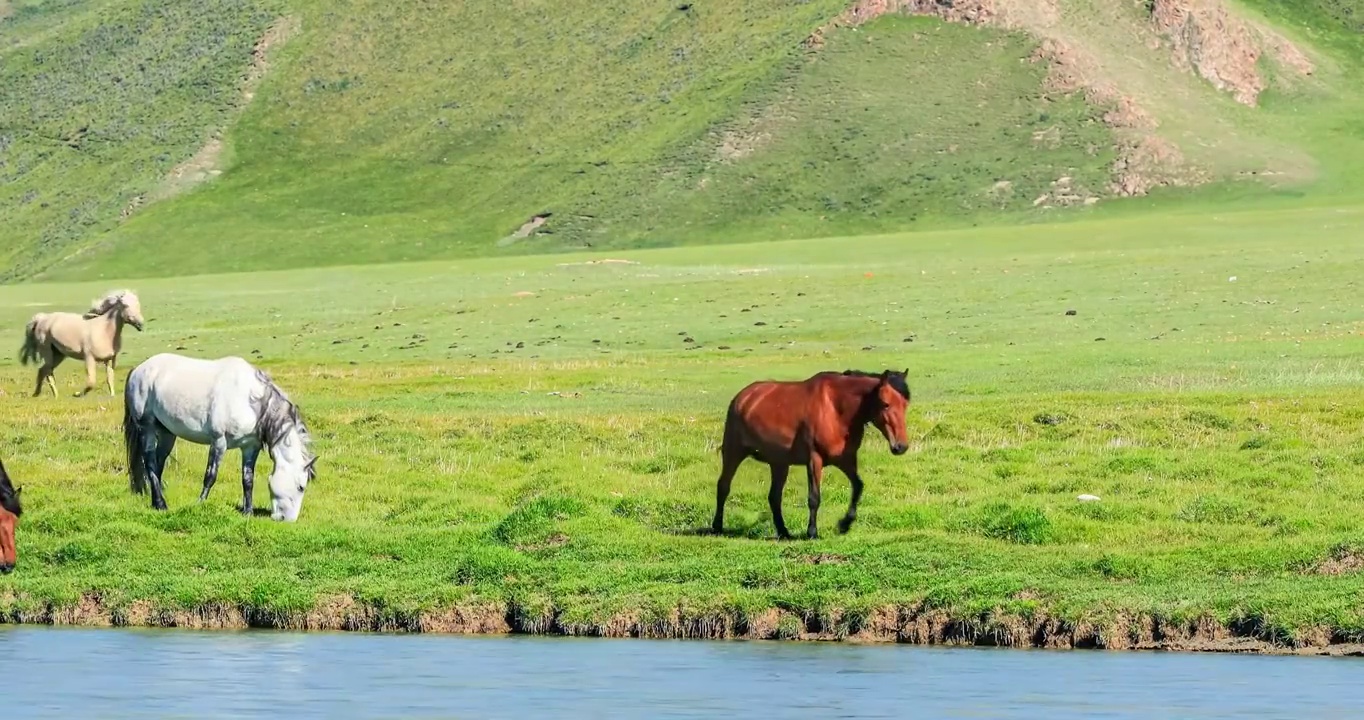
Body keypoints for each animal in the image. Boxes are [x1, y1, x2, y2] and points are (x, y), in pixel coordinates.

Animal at [121, 351, 315, 518]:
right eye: (301, 487)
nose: (288, 519)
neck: (250, 400)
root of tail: (137, 369)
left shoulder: (250, 447)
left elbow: (248, 479)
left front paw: (248, 512)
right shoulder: (219, 442)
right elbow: (210, 476)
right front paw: (200, 503)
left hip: (167, 433)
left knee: (158, 464)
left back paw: (156, 502)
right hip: (146, 427)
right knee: (150, 462)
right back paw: (161, 504)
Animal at [709, 370, 911, 540]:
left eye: (905, 404)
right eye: (886, 404)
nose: (900, 446)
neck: (836, 409)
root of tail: (743, 397)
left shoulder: (845, 460)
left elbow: (858, 486)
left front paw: (844, 524)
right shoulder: (815, 460)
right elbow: (814, 498)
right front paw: (812, 532)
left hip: (779, 463)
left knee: (774, 497)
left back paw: (783, 532)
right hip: (734, 453)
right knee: (723, 486)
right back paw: (717, 527)